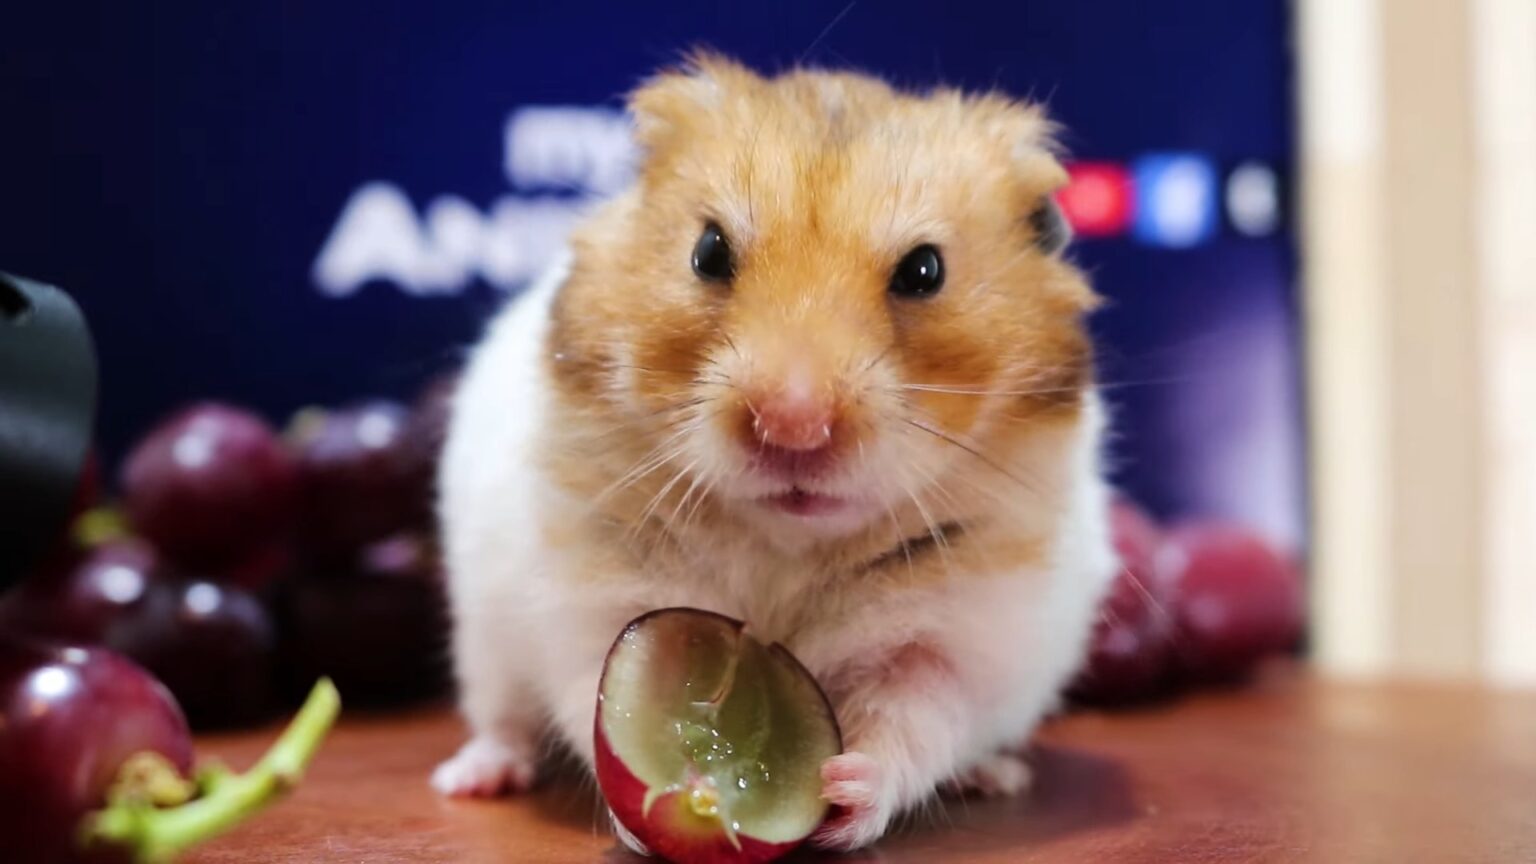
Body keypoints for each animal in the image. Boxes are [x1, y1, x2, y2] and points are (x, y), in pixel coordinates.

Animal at [430, 53, 1117, 853]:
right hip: (483, 642)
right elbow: (586, 693)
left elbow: (912, 722)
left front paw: (842, 789)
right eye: (708, 251)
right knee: (501, 718)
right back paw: (470, 778)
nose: (793, 426)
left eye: (925, 270)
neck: (785, 547)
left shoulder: (952, 641)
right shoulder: (586, 604)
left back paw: (995, 775)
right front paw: (635, 818)